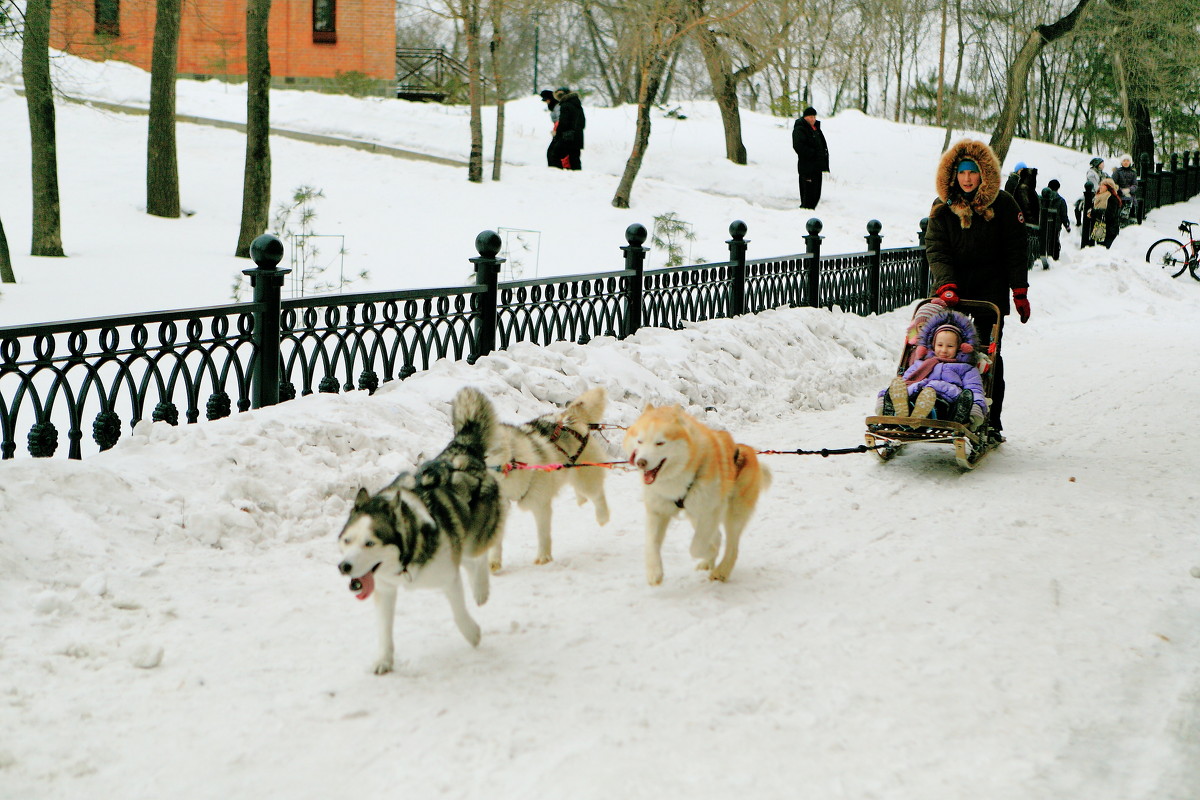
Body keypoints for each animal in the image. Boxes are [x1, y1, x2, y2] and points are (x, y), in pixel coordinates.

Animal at [336, 388, 504, 676]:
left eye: (370, 543)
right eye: (347, 540)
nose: (344, 567)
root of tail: (461, 453)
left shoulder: (448, 578)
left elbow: (458, 612)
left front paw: (472, 633)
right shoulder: (385, 589)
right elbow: (384, 629)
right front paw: (384, 659)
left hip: (475, 535)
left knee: (478, 555)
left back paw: (480, 588)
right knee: (468, 560)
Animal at [489, 386, 614, 568]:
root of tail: (567, 417)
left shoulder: (540, 504)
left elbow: (543, 534)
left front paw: (543, 557)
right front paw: (494, 561)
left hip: (585, 477)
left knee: (597, 494)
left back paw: (602, 515)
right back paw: (581, 499)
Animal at [624, 402, 772, 585]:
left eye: (660, 443)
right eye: (640, 441)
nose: (641, 462)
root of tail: (747, 450)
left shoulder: (709, 511)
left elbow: (697, 546)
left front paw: (710, 551)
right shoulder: (658, 511)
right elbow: (651, 543)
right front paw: (654, 571)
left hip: (733, 514)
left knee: (732, 546)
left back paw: (722, 570)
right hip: (696, 515)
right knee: (718, 536)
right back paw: (709, 563)